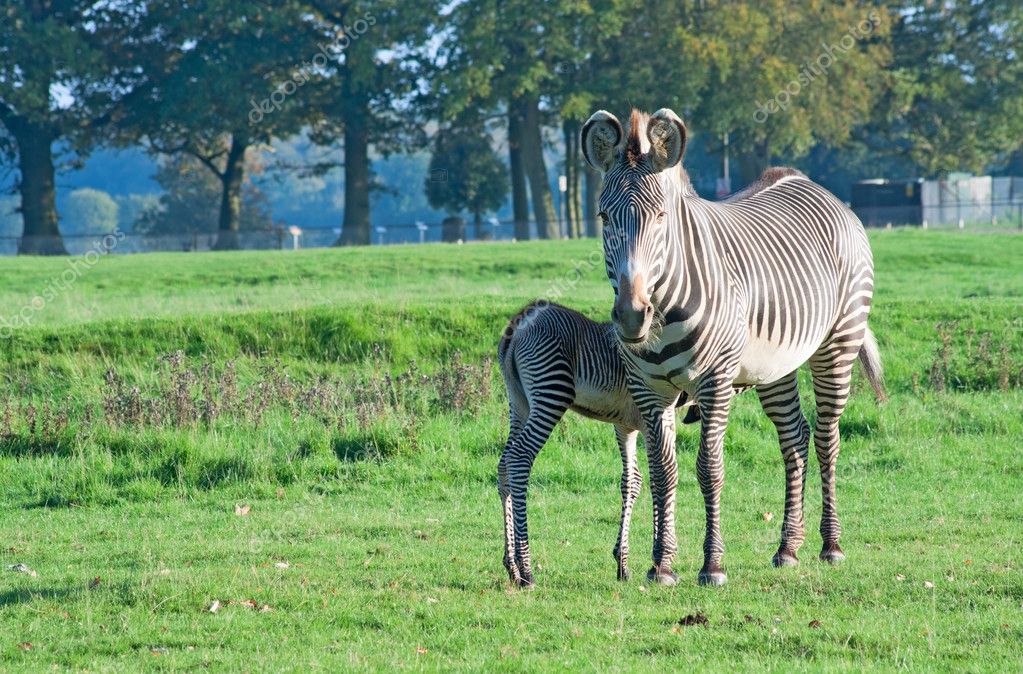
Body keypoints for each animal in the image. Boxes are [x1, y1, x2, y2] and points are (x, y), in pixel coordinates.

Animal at [581, 109, 883, 585]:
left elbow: (709, 469)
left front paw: (712, 565)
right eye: (604, 217)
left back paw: (831, 544)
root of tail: (809, 183)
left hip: (839, 341)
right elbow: (662, 471)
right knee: (794, 438)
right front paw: (662, 565)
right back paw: (787, 548)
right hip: (775, 366)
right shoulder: (649, 389)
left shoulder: (715, 381)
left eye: (661, 218)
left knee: (826, 437)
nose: (631, 317)